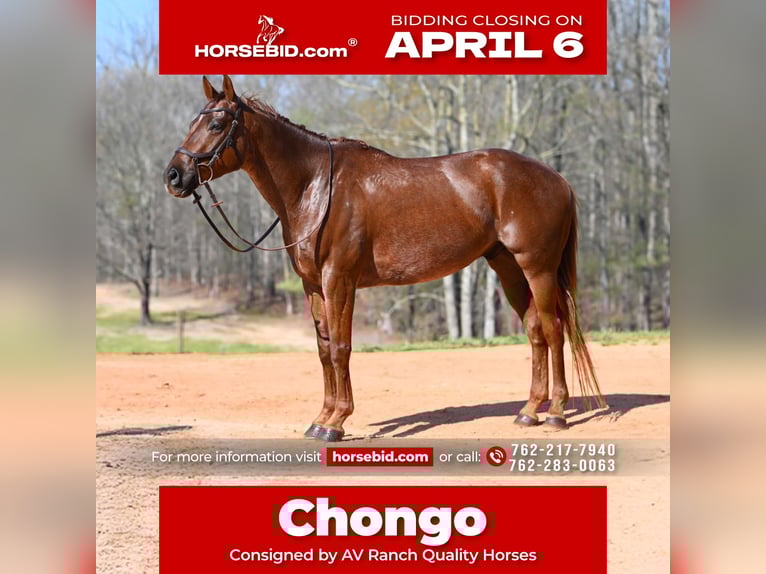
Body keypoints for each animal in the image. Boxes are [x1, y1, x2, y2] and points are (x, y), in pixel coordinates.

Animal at [163, 75, 606, 442]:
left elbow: (341, 347)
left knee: (553, 330)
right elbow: (324, 350)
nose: (173, 176)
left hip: (537, 267)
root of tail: (557, 179)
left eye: (216, 126)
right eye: (192, 122)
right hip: (508, 267)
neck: (316, 186)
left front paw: (336, 422)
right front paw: (320, 419)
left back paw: (557, 413)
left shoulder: (339, 279)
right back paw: (529, 411)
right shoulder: (313, 285)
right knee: (534, 330)